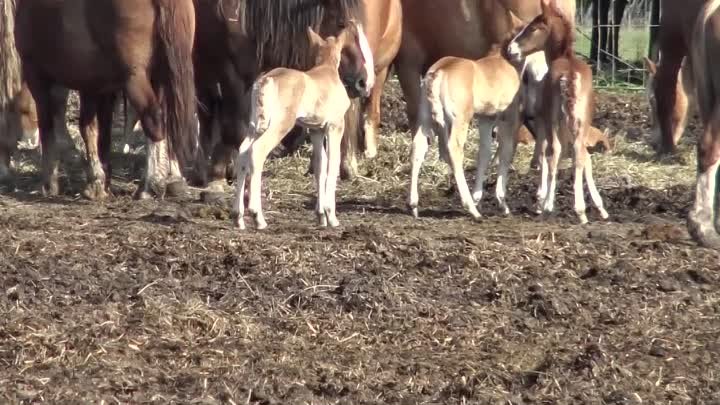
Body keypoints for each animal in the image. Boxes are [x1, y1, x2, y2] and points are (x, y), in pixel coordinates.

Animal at [11, 0, 197, 199]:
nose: (24, 139)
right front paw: (100, 182)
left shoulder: (38, 76)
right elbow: (99, 133)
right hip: (160, 78)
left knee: (153, 122)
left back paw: (150, 185)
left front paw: (51, 184)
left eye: (22, 111)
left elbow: (52, 129)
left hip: (135, 80)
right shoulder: (100, 88)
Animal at [232, 25, 352, 229]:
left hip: (255, 125)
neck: (327, 70)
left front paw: (321, 217)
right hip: (281, 124)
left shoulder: (316, 130)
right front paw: (332, 217)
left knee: (242, 152)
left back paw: (238, 218)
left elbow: (320, 164)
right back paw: (258, 217)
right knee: (257, 151)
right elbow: (333, 164)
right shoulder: (335, 126)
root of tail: (266, 81)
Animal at [506, 0, 608, 223]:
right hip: (576, 124)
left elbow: (552, 156)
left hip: (555, 123)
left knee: (557, 155)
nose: (510, 49)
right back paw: (579, 210)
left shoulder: (548, 122)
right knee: (575, 156)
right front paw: (599, 206)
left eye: (532, 27)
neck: (564, 57)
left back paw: (552, 207)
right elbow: (584, 159)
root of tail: (568, 77)